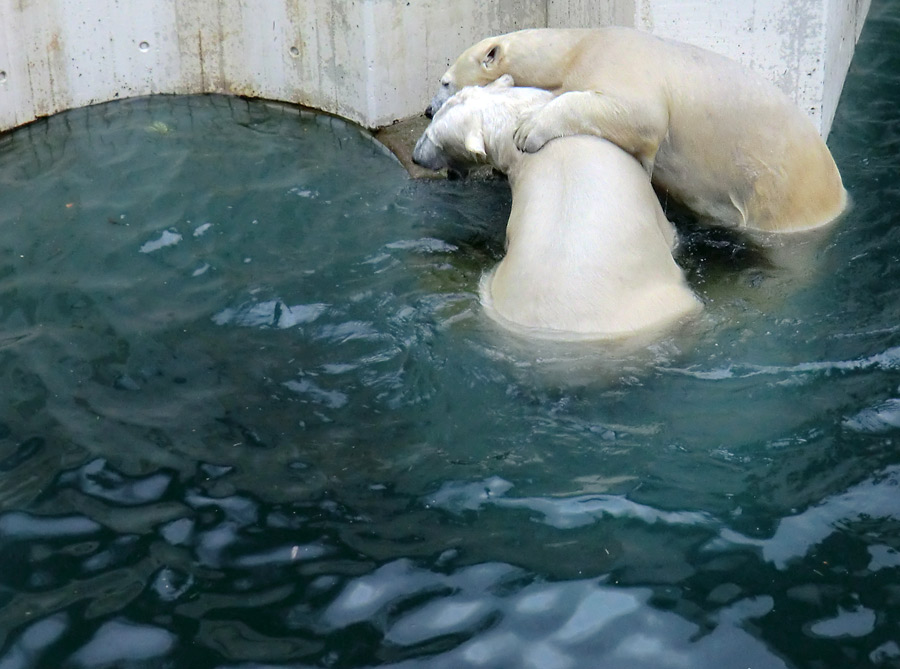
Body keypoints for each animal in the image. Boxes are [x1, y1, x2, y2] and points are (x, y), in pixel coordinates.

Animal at [426, 27, 848, 236]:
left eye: (445, 81)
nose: (429, 109)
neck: (578, 47)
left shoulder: (621, 64)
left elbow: (638, 115)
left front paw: (528, 129)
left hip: (783, 193)